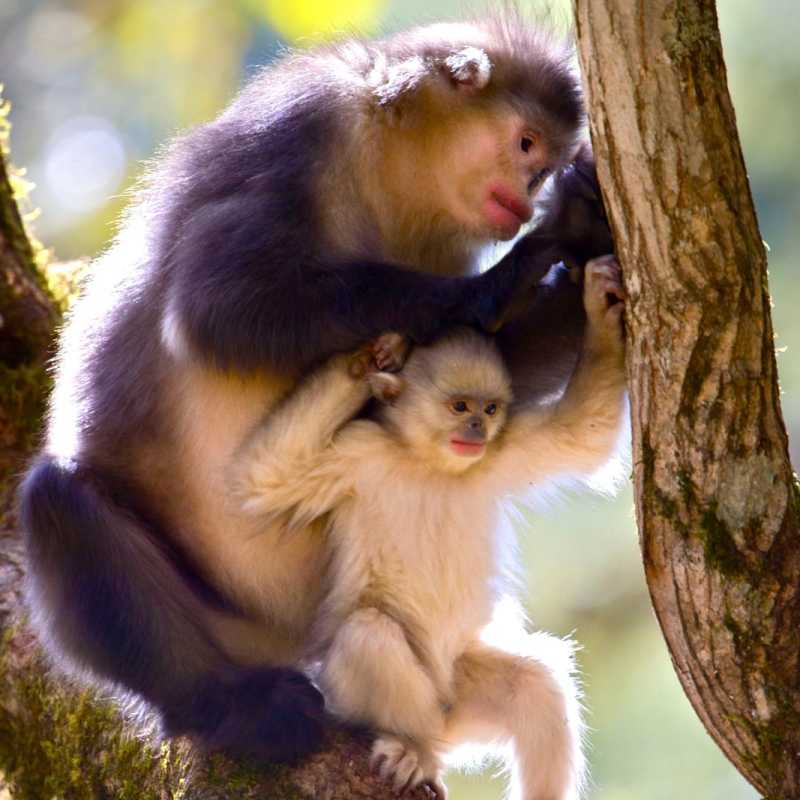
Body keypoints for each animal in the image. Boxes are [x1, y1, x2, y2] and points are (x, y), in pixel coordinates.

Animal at [19, 15, 612, 763]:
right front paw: (512, 272)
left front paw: (585, 234)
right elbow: (216, 307)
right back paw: (236, 706)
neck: (390, 170)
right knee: (57, 502)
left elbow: (490, 369)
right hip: (220, 619)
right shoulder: (301, 127)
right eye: (526, 144)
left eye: (541, 162)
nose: (530, 192)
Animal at [231, 255, 627, 799]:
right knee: (370, 633)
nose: (477, 429)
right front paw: (372, 354)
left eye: (490, 409)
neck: (428, 463)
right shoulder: (357, 452)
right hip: (371, 701)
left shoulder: (504, 448)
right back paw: (412, 749)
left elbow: (585, 431)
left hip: (460, 697)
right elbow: (268, 475)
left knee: (536, 685)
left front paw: (601, 308)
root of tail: (443, 730)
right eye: (459, 407)